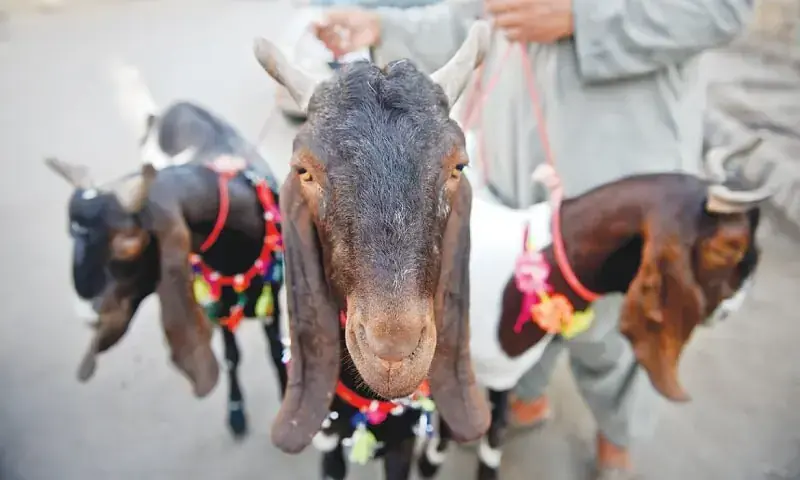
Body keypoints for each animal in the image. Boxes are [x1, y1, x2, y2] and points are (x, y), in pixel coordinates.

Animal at [45, 92, 288, 439]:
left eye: (129, 243)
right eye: (70, 232)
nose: (87, 313)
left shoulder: (273, 299)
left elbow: (276, 352)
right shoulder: (215, 303)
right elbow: (231, 355)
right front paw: (236, 412)